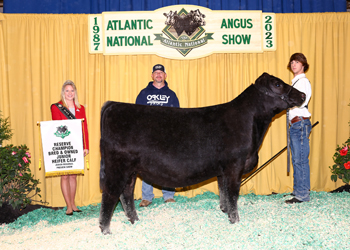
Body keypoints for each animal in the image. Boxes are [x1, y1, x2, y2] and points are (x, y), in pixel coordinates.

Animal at [98, 72, 304, 234]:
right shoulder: (235, 165)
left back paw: (134, 221)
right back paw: (105, 229)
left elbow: (223, 191)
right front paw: (235, 220)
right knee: (110, 194)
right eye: (277, 84)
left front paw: (225, 212)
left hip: (131, 170)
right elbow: (233, 193)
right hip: (117, 166)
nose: (302, 94)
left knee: (126, 193)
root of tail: (113, 104)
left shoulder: (223, 170)